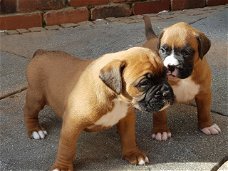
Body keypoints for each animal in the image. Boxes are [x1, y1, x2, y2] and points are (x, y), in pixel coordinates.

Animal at [23, 46, 175, 170]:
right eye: (144, 83)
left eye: (165, 75)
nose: (166, 91)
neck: (115, 96)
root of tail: (42, 52)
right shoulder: (72, 125)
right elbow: (67, 148)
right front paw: (62, 167)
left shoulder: (127, 118)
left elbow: (129, 136)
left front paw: (133, 153)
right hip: (36, 97)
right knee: (29, 113)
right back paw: (35, 130)